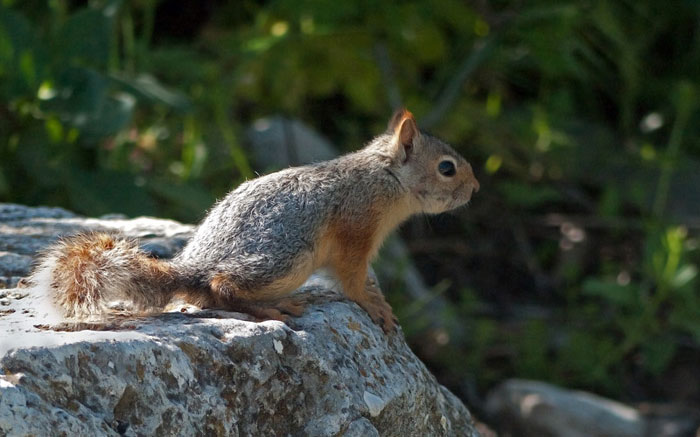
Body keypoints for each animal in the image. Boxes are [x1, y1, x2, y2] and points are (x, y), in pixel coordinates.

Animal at [30, 109, 484, 330]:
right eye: (447, 169)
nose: (476, 188)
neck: (386, 177)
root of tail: (193, 266)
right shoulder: (357, 227)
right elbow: (353, 279)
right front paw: (373, 305)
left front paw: (379, 299)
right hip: (287, 257)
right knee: (220, 287)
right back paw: (273, 307)